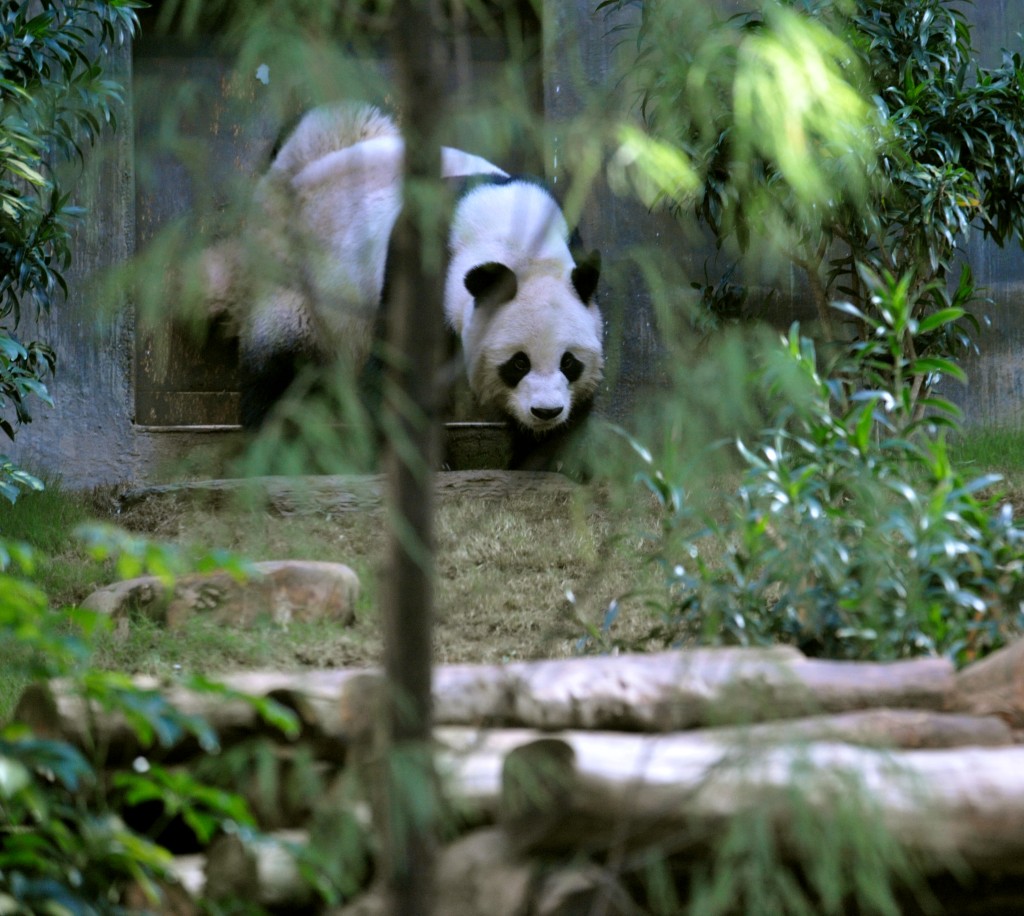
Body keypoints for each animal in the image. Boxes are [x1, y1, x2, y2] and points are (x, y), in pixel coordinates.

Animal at [211, 103, 602, 468]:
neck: (514, 236)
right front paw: (428, 461)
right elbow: (398, 364)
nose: (546, 411)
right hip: (290, 275)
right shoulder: (421, 255)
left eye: (569, 362)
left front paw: (544, 458)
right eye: (518, 363)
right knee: (282, 367)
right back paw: (275, 447)